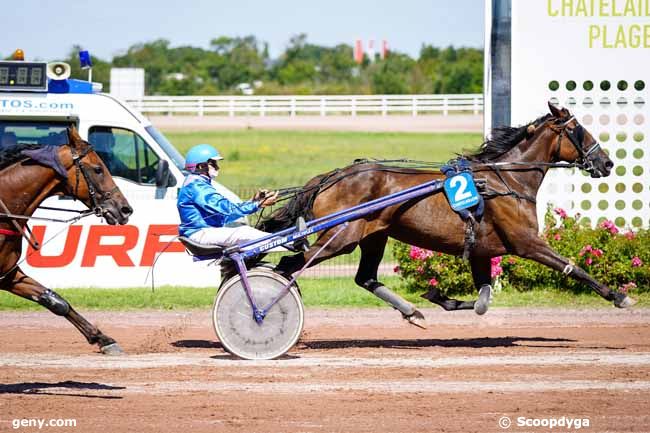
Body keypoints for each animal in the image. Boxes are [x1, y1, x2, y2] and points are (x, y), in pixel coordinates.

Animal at [258, 104, 632, 328]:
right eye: (579, 129)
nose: (607, 163)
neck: (505, 181)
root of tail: (329, 178)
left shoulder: (482, 250)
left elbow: (482, 300)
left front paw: (437, 296)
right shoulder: (526, 243)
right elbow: (573, 267)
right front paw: (618, 296)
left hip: (373, 236)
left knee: (365, 278)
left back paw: (411, 310)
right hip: (341, 238)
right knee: (288, 266)